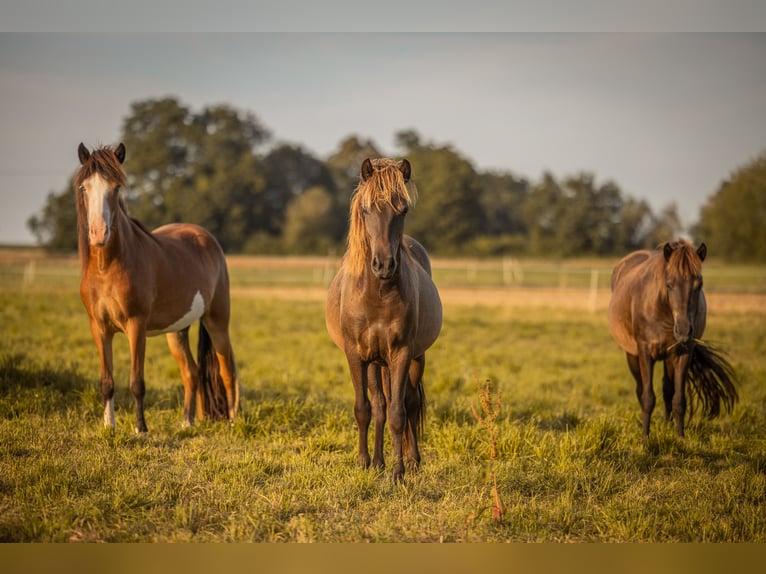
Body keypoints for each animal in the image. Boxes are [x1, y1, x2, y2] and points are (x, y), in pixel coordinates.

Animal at [73, 144, 240, 432]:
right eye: (84, 187)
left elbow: (137, 382)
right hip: (177, 330)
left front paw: (141, 429)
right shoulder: (98, 327)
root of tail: (206, 238)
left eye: (116, 188)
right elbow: (107, 382)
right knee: (191, 372)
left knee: (226, 369)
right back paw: (187, 422)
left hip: (217, 319)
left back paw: (231, 421)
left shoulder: (136, 325)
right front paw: (109, 427)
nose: (99, 233)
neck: (108, 267)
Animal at [326, 158, 444, 482]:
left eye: (402, 210)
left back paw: (412, 460)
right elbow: (364, 409)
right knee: (379, 404)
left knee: (409, 403)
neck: (376, 294)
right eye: (367, 209)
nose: (384, 265)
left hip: (414, 358)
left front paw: (399, 471)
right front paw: (364, 462)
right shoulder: (356, 355)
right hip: (375, 363)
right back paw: (377, 461)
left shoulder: (401, 354)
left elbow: (398, 413)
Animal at [608, 241, 740, 438]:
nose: (684, 331)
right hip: (632, 355)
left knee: (667, 389)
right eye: (669, 284)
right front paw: (645, 437)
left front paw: (680, 436)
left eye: (699, 284)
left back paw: (666, 424)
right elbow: (648, 397)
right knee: (640, 389)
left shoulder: (682, 354)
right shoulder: (645, 353)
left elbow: (679, 399)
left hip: (669, 358)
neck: (663, 311)